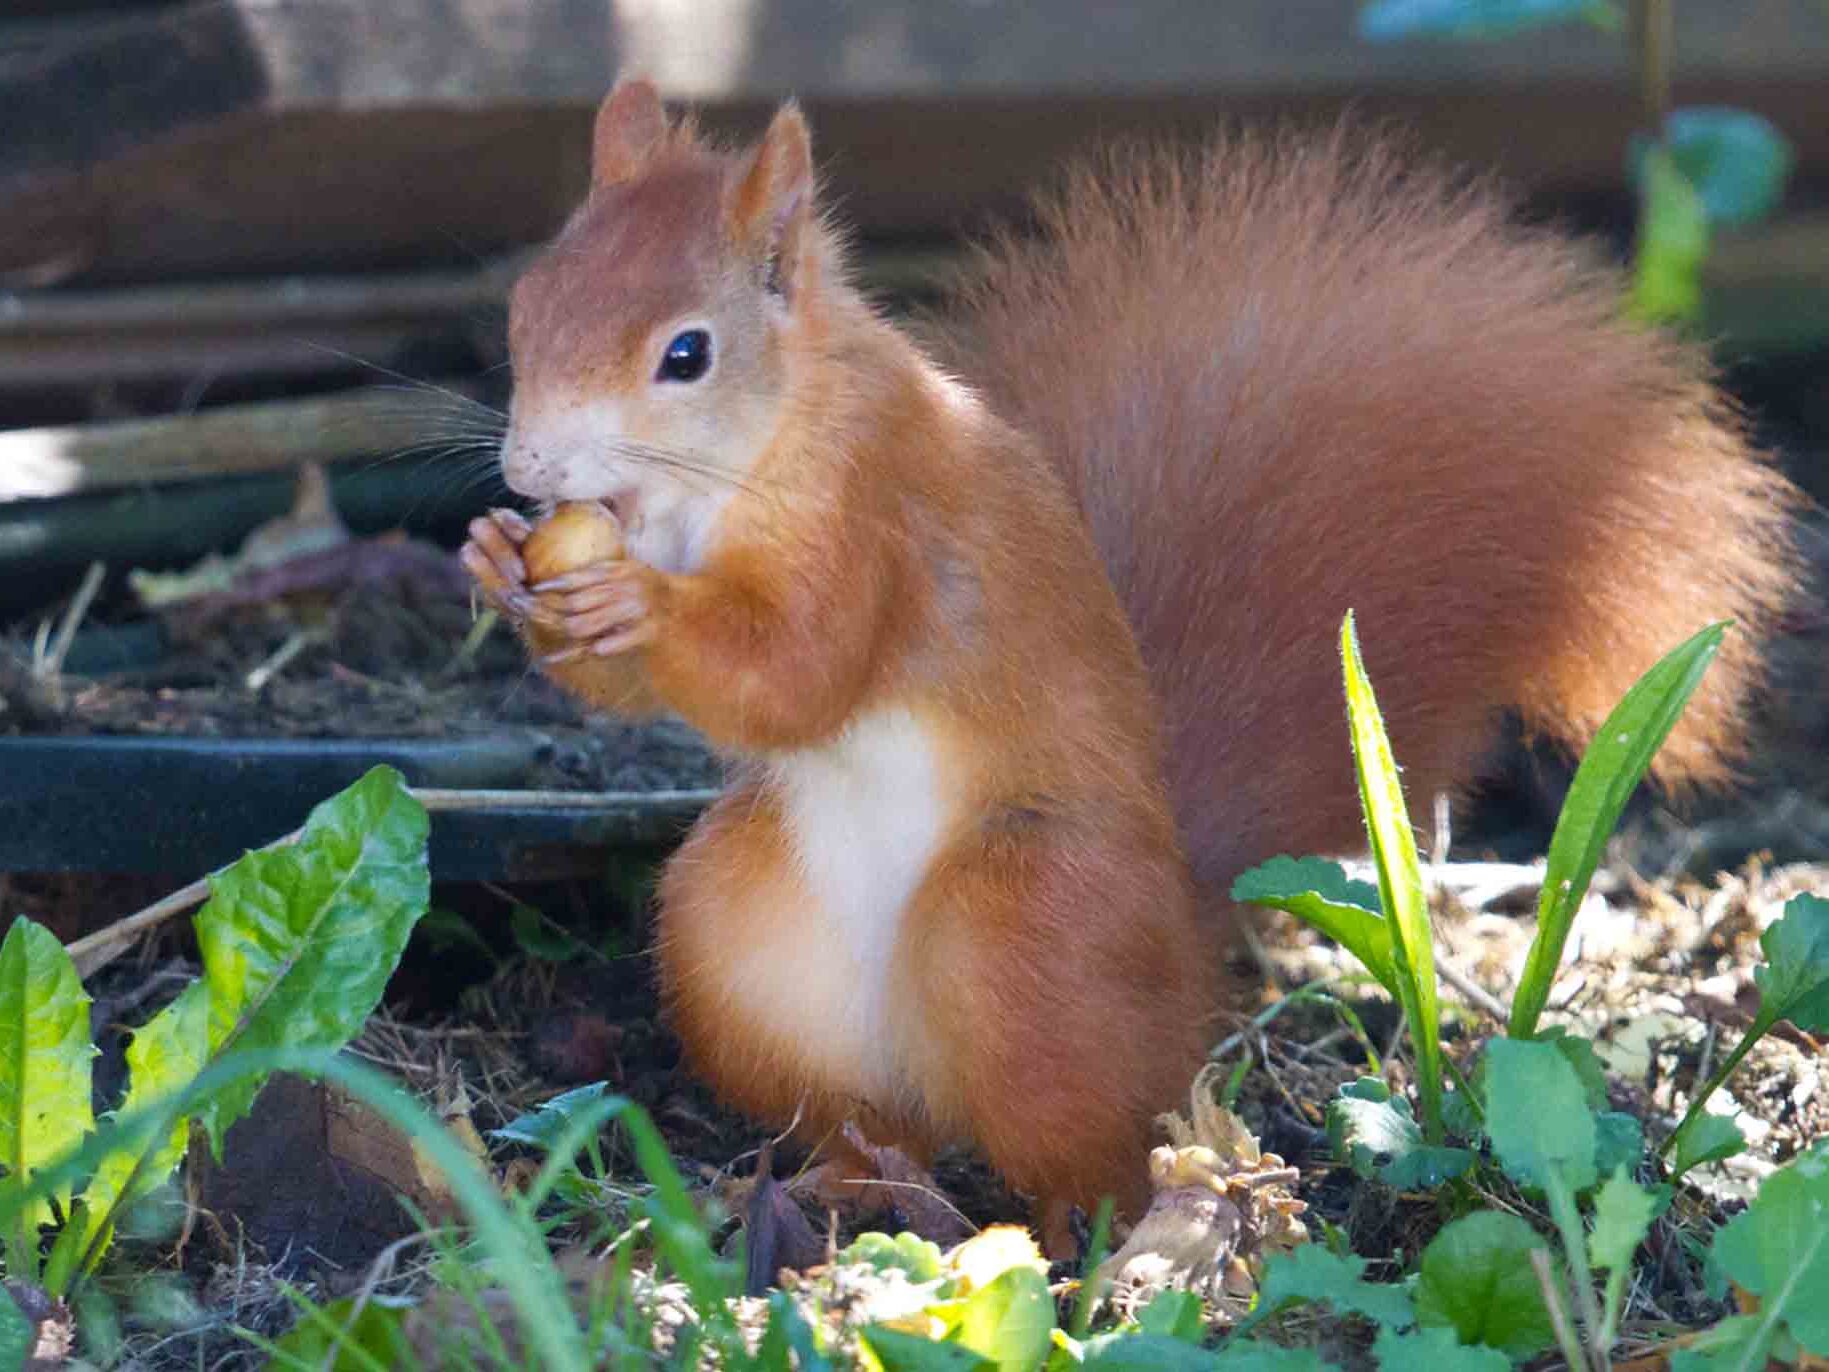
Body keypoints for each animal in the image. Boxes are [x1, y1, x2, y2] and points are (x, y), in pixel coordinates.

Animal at [462, 80, 1801, 1253]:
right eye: (527, 301)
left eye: (684, 354)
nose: (526, 469)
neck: (736, 461)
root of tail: (1179, 936)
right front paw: (497, 563)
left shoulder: (878, 521)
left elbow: (798, 669)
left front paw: (631, 601)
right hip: (733, 939)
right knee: (881, 1119)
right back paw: (836, 1185)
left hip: (1026, 915)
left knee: (1087, 1138)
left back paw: (1086, 1242)